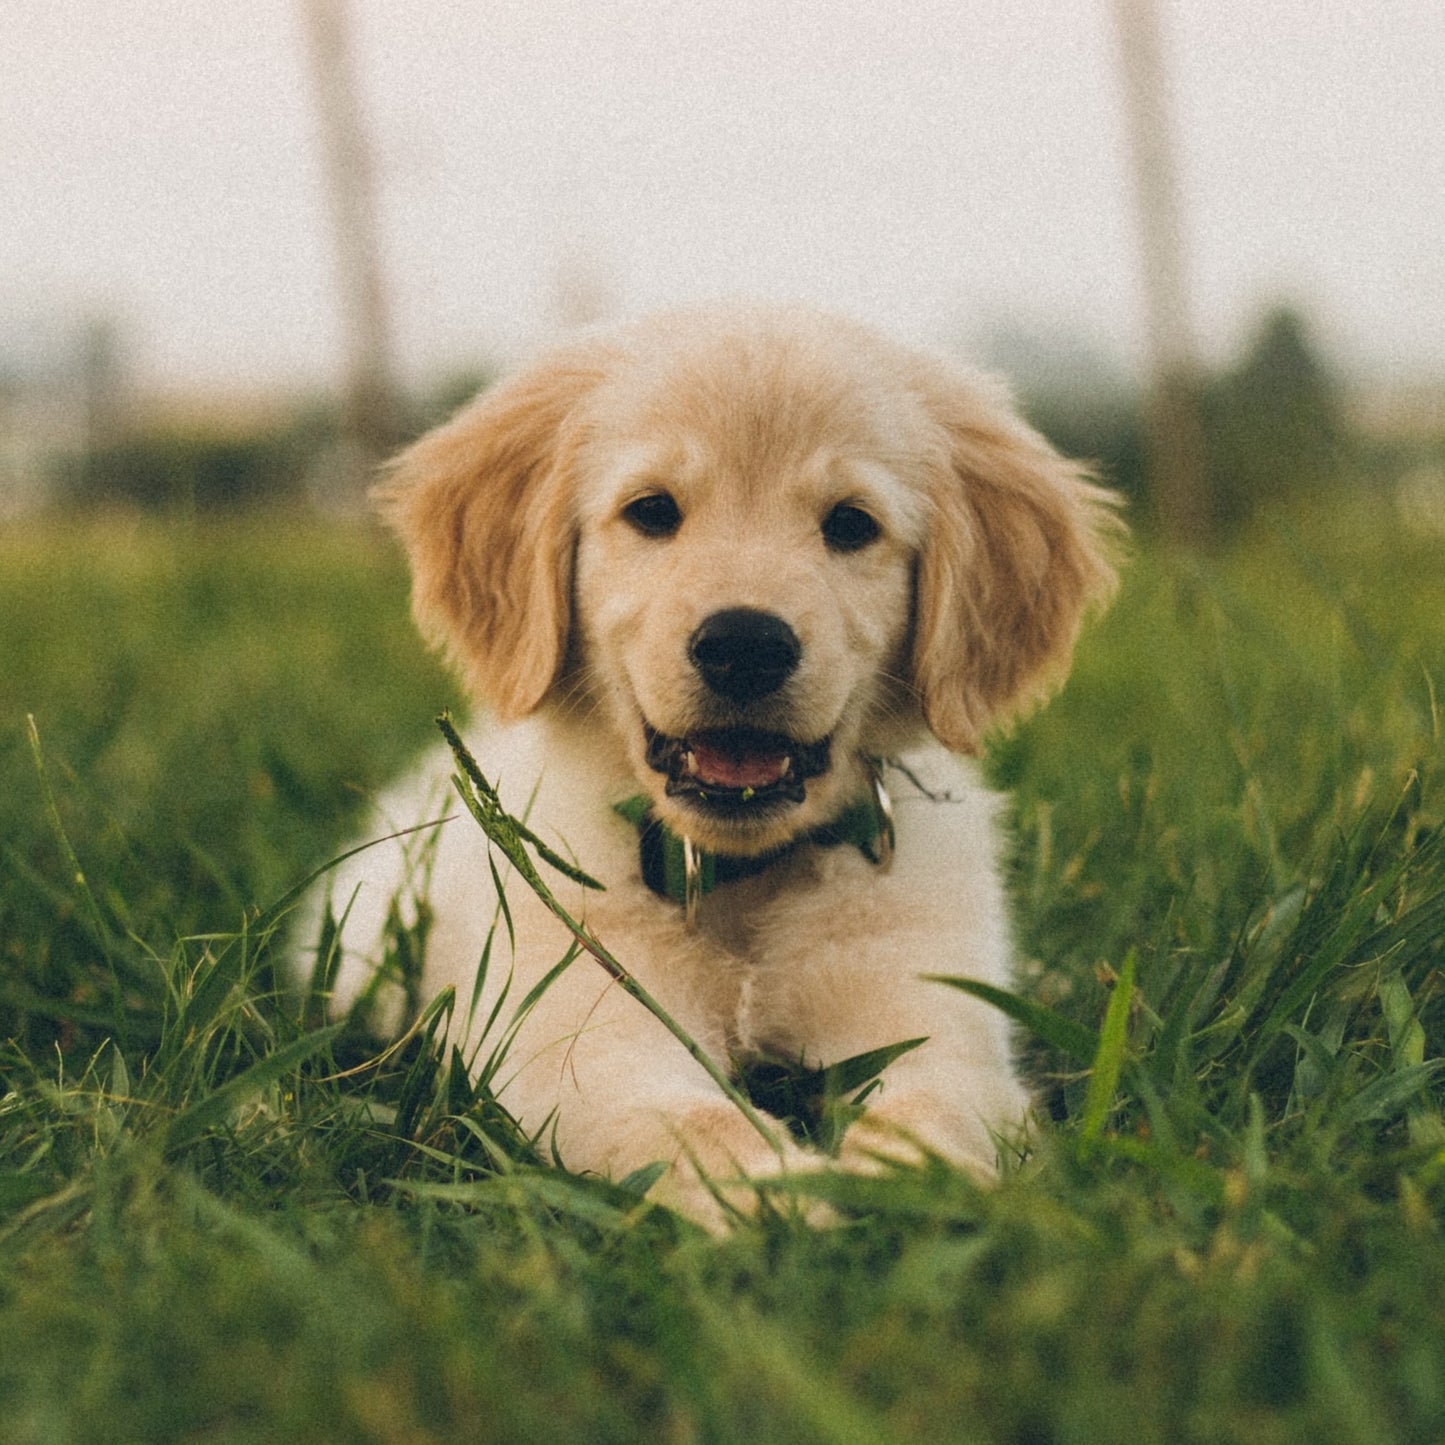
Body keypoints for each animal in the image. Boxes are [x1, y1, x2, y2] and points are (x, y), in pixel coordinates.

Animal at [322, 302, 1121, 1219]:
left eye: (851, 524)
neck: (737, 881)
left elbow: (938, 1104)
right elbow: (687, 1123)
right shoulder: (584, 1025)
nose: (745, 645)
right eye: (652, 510)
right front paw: (782, 1198)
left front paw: (903, 1188)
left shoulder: (928, 1006)